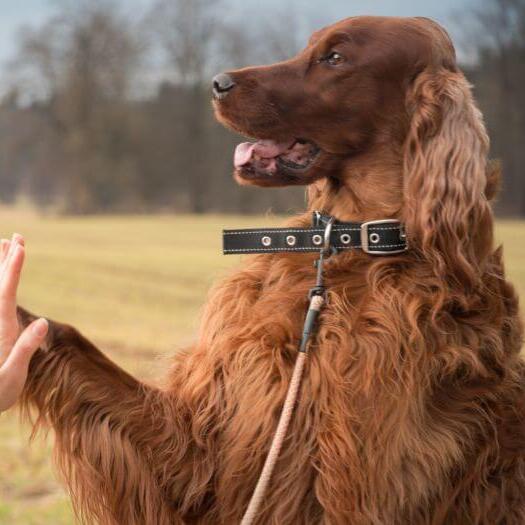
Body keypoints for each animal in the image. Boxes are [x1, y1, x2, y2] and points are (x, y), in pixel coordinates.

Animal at [17, 14, 524, 520]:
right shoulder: (199, 449)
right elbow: (69, 339)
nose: (217, 82)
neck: (342, 246)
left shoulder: (353, 490)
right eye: (308, 46)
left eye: (335, 57)